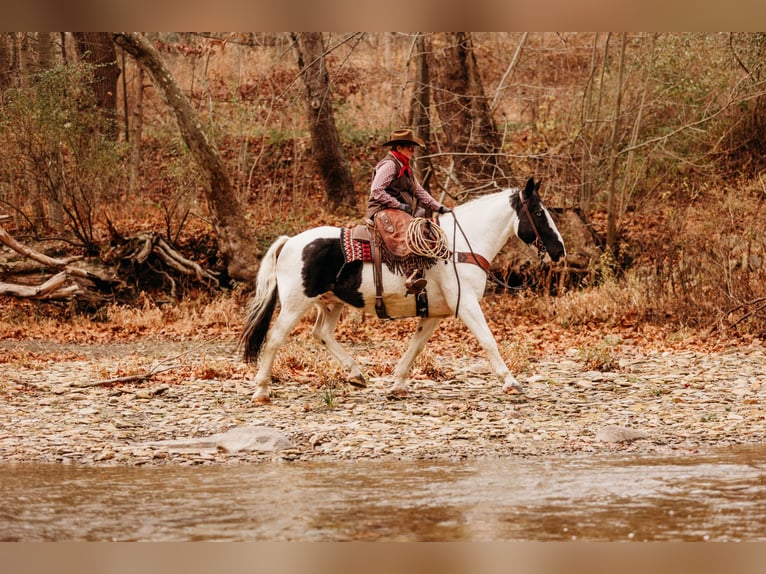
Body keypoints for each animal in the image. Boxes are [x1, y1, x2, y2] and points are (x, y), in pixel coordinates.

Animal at [243, 178, 568, 402]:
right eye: (539, 212)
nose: (559, 249)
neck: (459, 247)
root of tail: (290, 242)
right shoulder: (466, 305)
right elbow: (488, 340)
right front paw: (511, 382)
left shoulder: (435, 313)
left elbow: (415, 347)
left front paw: (398, 385)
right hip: (295, 304)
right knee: (275, 338)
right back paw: (261, 390)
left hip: (331, 303)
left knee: (321, 333)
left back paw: (356, 374)